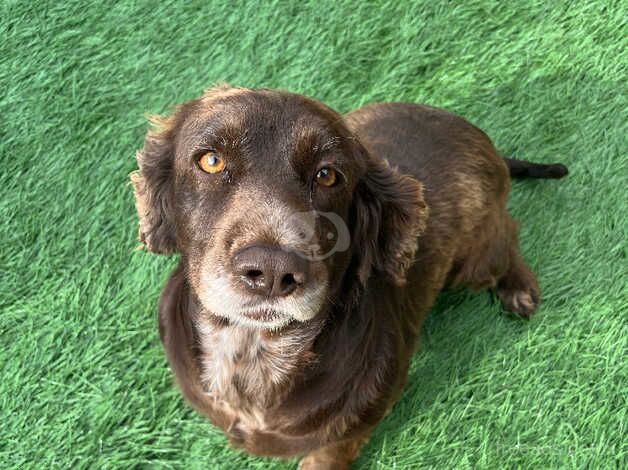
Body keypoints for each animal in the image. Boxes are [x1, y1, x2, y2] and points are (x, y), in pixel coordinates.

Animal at [131, 85, 568, 470]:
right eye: (210, 161)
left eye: (328, 175)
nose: (272, 271)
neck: (252, 351)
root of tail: (479, 137)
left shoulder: (366, 411)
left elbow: (329, 451)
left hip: (475, 262)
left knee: (507, 231)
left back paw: (519, 287)